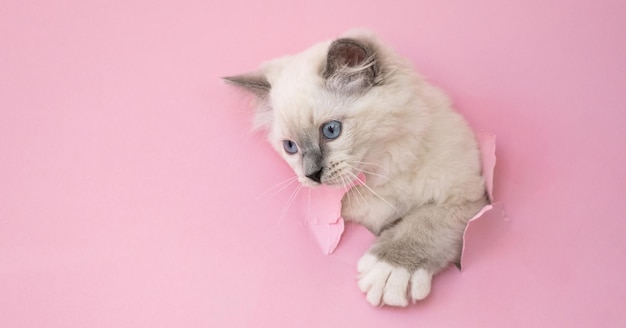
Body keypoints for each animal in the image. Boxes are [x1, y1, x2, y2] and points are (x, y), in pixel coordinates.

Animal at [224, 29, 488, 306]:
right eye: (290, 147)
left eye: (331, 130)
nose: (311, 175)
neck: (380, 172)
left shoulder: (466, 202)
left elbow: (423, 222)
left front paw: (390, 272)